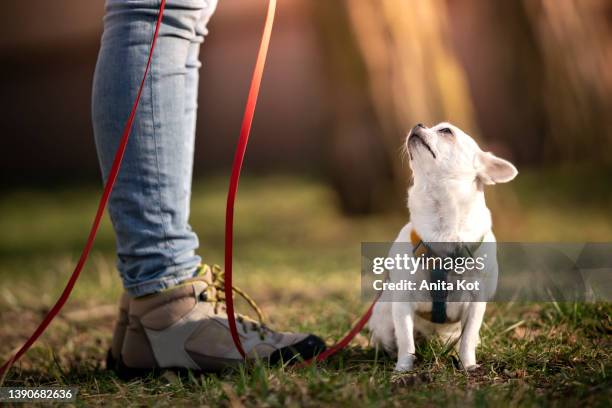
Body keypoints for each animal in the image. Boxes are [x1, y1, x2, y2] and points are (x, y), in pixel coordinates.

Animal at [368, 120, 516, 370]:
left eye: (446, 131)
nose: (417, 123)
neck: (443, 228)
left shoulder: (476, 304)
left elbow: (467, 340)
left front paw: (468, 367)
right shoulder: (402, 303)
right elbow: (406, 341)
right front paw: (403, 369)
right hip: (383, 320)